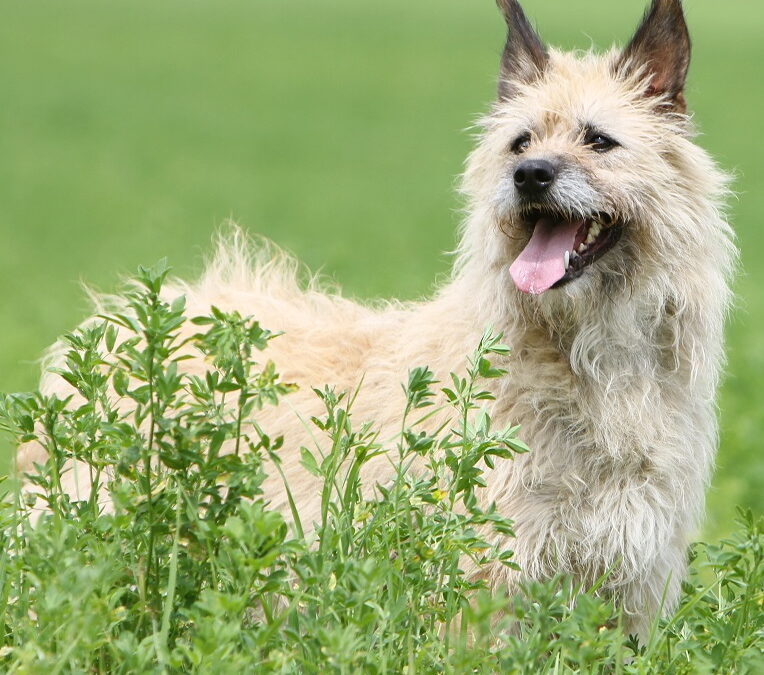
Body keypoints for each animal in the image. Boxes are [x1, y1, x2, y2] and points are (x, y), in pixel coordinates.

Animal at [19, 0, 736, 640]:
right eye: (520, 141)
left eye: (599, 140)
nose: (529, 175)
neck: (584, 356)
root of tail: (119, 319)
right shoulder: (482, 586)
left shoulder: (626, 590)